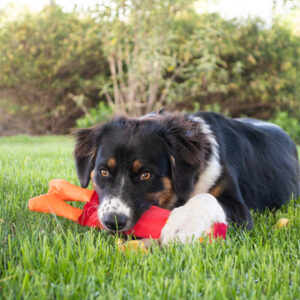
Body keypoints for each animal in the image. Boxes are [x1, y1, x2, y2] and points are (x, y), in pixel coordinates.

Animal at [73, 111, 300, 245]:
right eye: (103, 172)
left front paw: (181, 225)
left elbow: (206, 198)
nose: (113, 222)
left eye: (146, 175)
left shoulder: (240, 209)